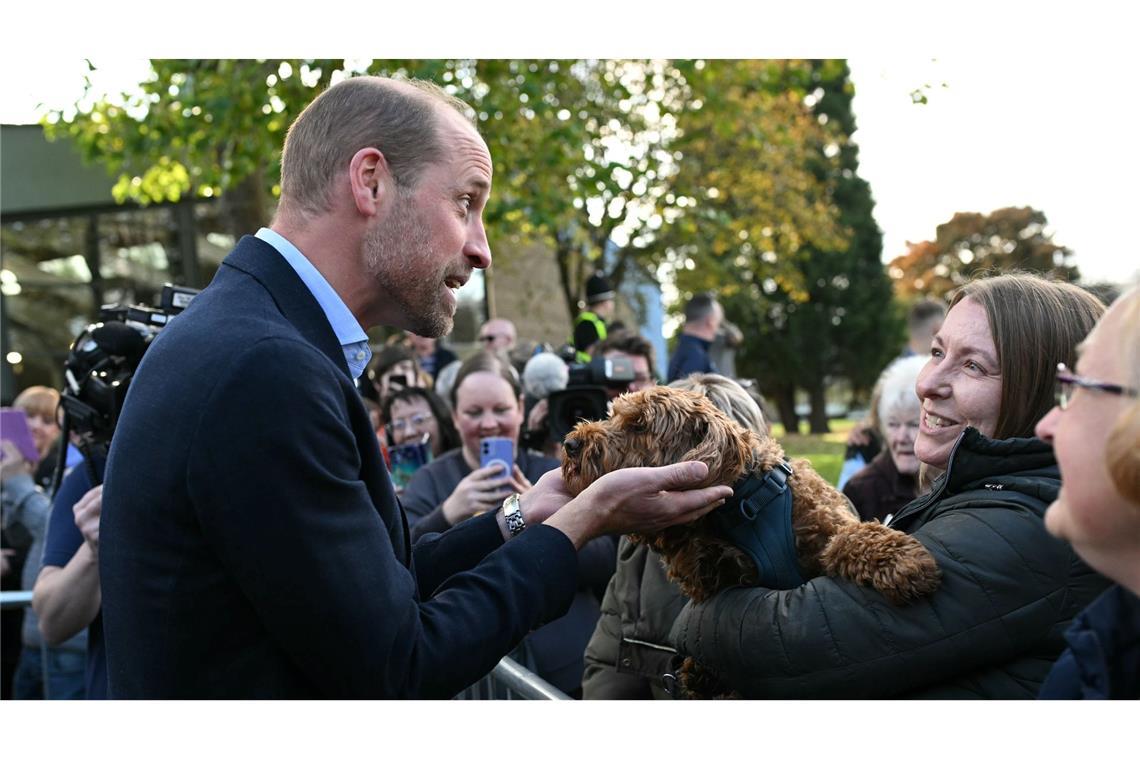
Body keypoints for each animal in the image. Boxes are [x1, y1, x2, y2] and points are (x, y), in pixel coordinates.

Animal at [556, 389, 939, 697]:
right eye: (613, 415)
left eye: (639, 426)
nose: (571, 444)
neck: (741, 506)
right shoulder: (713, 578)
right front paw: (701, 673)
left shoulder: (824, 528)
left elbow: (850, 537)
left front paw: (899, 559)